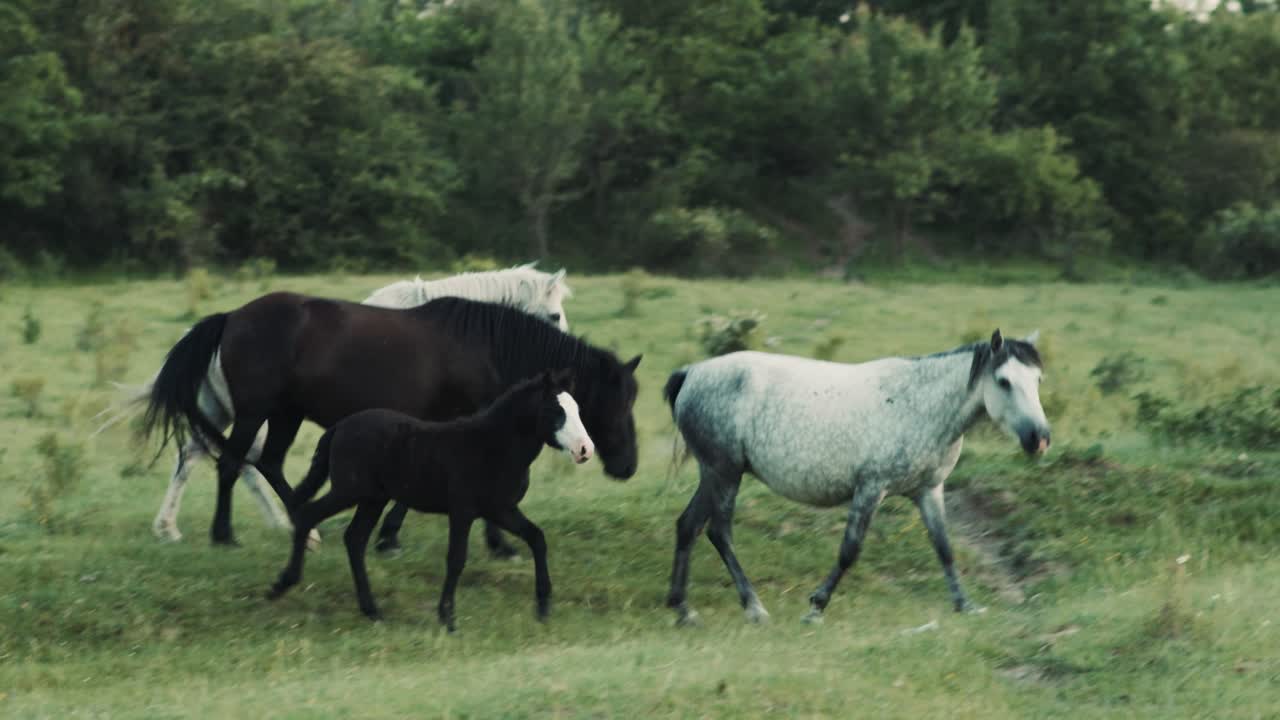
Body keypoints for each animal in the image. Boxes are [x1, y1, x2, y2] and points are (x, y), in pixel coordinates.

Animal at [139, 293, 640, 556]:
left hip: (286, 414)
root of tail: (232, 317)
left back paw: (305, 524)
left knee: (271, 465)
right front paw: (497, 543)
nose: (627, 467)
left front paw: (389, 535)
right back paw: (224, 534)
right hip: (254, 412)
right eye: (615, 403)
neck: (486, 349)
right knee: (231, 464)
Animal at [267, 369, 593, 629]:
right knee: (309, 515)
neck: (493, 446)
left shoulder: (500, 509)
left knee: (354, 539)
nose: (585, 449)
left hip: (373, 499)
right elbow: (456, 559)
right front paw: (446, 617)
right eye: (556, 411)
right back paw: (281, 585)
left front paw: (543, 607)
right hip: (349, 491)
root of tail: (340, 428)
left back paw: (372, 611)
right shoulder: (463, 511)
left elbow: (537, 538)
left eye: (577, 410)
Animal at [661, 329, 1050, 626]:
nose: (1040, 438)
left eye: (1037, 380)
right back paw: (753, 607)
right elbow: (850, 549)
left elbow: (944, 548)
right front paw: (816, 607)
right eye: (1004, 381)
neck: (919, 406)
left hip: (714, 473)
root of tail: (691, 374)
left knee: (688, 525)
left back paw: (682, 609)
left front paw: (965, 604)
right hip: (725, 472)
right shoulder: (871, 489)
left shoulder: (928, 490)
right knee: (719, 531)